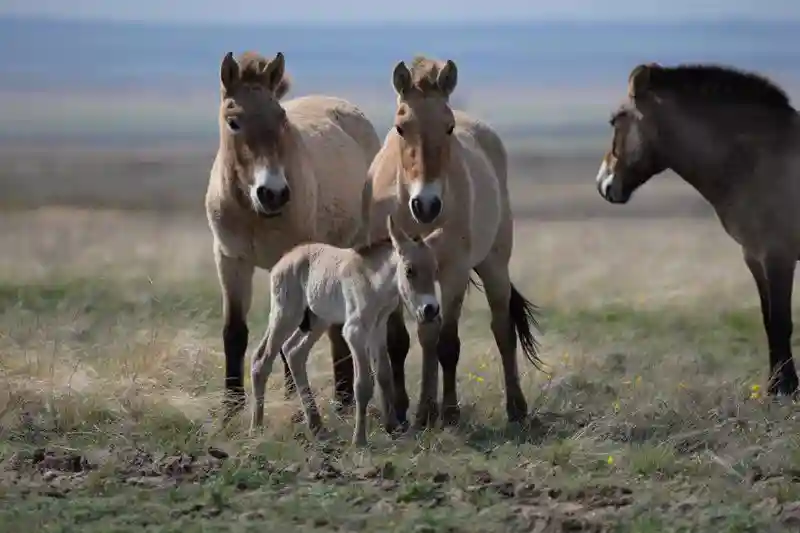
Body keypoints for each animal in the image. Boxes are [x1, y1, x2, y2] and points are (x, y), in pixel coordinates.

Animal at [206, 51, 382, 420]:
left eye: (281, 117)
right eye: (233, 121)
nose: (273, 193)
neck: (253, 212)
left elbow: (296, 330)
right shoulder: (230, 261)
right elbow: (235, 332)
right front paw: (231, 407)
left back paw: (343, 397)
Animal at [368, 55, 544, 428]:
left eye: (448, 127)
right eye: (401, 127)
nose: (426, 204)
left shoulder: (454, 272)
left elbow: (448, 343)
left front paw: (445, 412)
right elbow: (400, 341)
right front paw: (405, 413)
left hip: (494, 265)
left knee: (502, 329)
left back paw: (515, 408)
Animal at [592, 61, 800, 394]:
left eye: (616, 120)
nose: (603, 183)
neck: (758, 160)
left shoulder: (778, 255)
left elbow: (781, 322)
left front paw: (785, 387)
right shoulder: (754, 257)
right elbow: (769, 320)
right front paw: (775, 384)